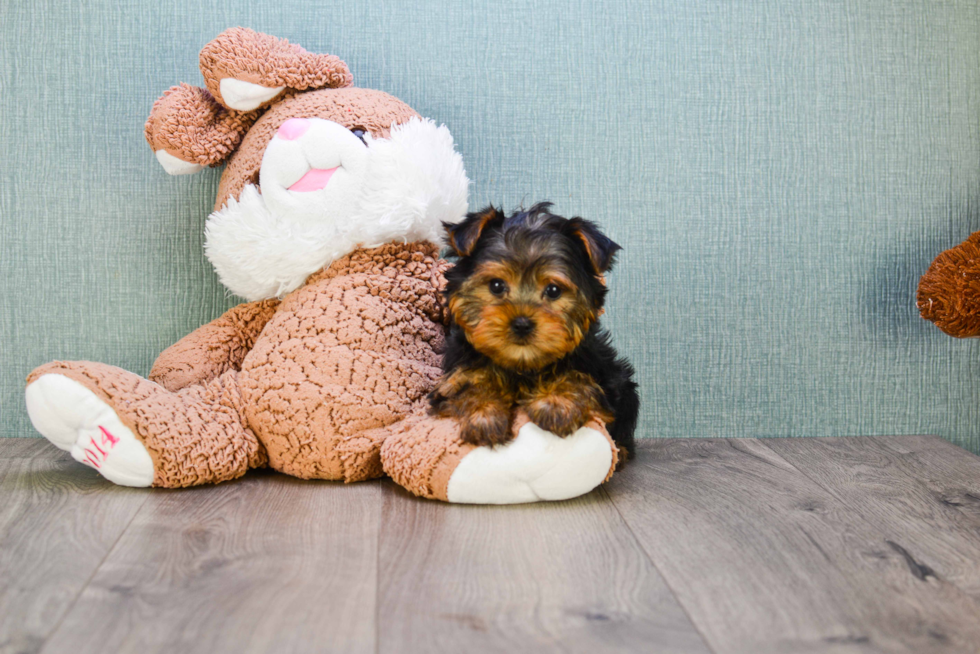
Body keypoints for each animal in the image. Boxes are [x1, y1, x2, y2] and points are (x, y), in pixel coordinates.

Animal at [432, 202, 640, 458]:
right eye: (496, 285)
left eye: (553, 290)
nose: (522, 323)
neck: (522, 366)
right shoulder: (452, 378)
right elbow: (466, 386)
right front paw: (484, 414)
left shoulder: (600, 376)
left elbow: (578, 378)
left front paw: (556, 402)